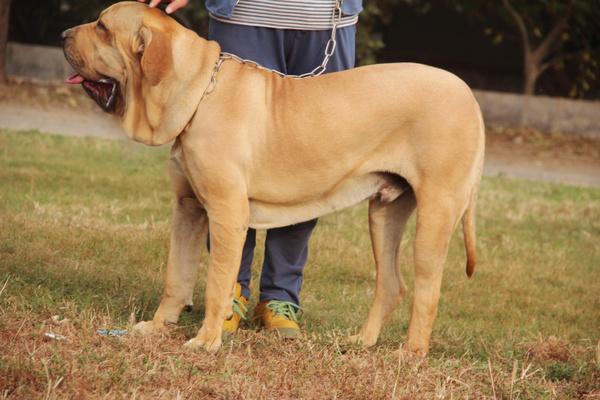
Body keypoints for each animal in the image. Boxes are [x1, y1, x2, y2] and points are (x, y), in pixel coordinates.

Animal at [63, 1, 486, 354]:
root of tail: (469, 95)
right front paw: (156, 328)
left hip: (435, 214)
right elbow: (175, 276)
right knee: (391, 284)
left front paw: (205, 341)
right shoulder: (187, 209)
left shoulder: (227, 214)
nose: (64, 34)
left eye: (102, 27)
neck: (199, 91)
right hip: (385, 212)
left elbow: (216, 283)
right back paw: (361, 341)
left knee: (427, 290)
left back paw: (410, 354)